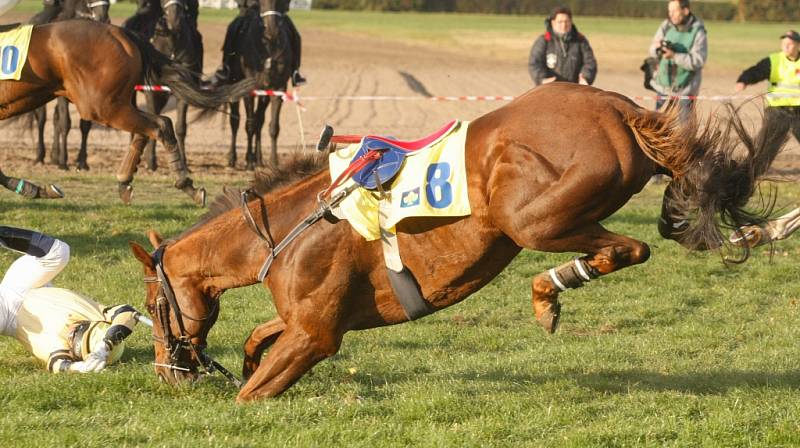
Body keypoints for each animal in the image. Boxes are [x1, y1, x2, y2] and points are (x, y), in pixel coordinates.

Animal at [0, 20, 255, 203]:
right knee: (149, 128)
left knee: (160, 124)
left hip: (102, 106)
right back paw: (125, 180)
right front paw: (35, 189)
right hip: (115, 102)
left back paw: (186, 185)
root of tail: (122, 33)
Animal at [128, 84, 780, 402]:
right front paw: (242, 357)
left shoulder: (316, 336)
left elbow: (254, 390)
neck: (294, 226)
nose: (166, 373)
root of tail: (622, 109)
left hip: (532, 220)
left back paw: (549, 292)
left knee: (631, 249)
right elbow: (256, 339)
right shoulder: (304, 320)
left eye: (155, 307)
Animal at [141, 0, 203, 172]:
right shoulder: (151, 92)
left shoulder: (184, 93)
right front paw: (151, 161)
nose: (175, 19)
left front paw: (184, 163)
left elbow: (181, 127)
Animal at [223, 0, 296, 169]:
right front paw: (249, 161)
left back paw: (259, 159)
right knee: (235, 121)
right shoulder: (249, 91)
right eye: (261, 2)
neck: (268, 47)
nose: (272, 31)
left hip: (265, 94)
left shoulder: (278, 89)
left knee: (259, 121)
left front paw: (273, 162)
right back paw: (233, 158)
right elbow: (249, 124)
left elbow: (273, 127)